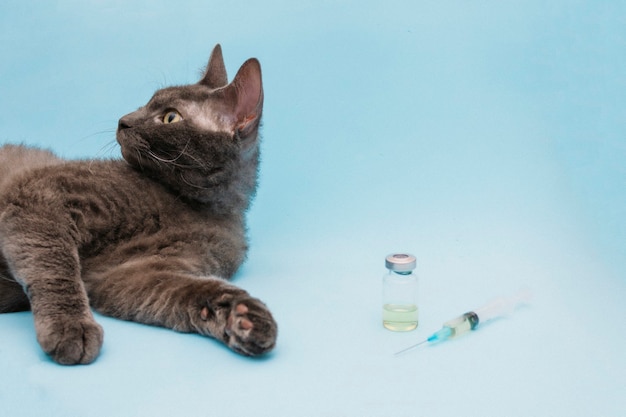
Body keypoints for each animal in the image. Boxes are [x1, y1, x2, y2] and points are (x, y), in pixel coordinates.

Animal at [0, 45, 276, 362]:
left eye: (170, 117)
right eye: (147, 103)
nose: (124, 119)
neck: (187, 204)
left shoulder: (134, 273)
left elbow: (192, 291)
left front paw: (243, 316)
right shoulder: (40, 193)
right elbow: (56, 265)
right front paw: (71, 327)